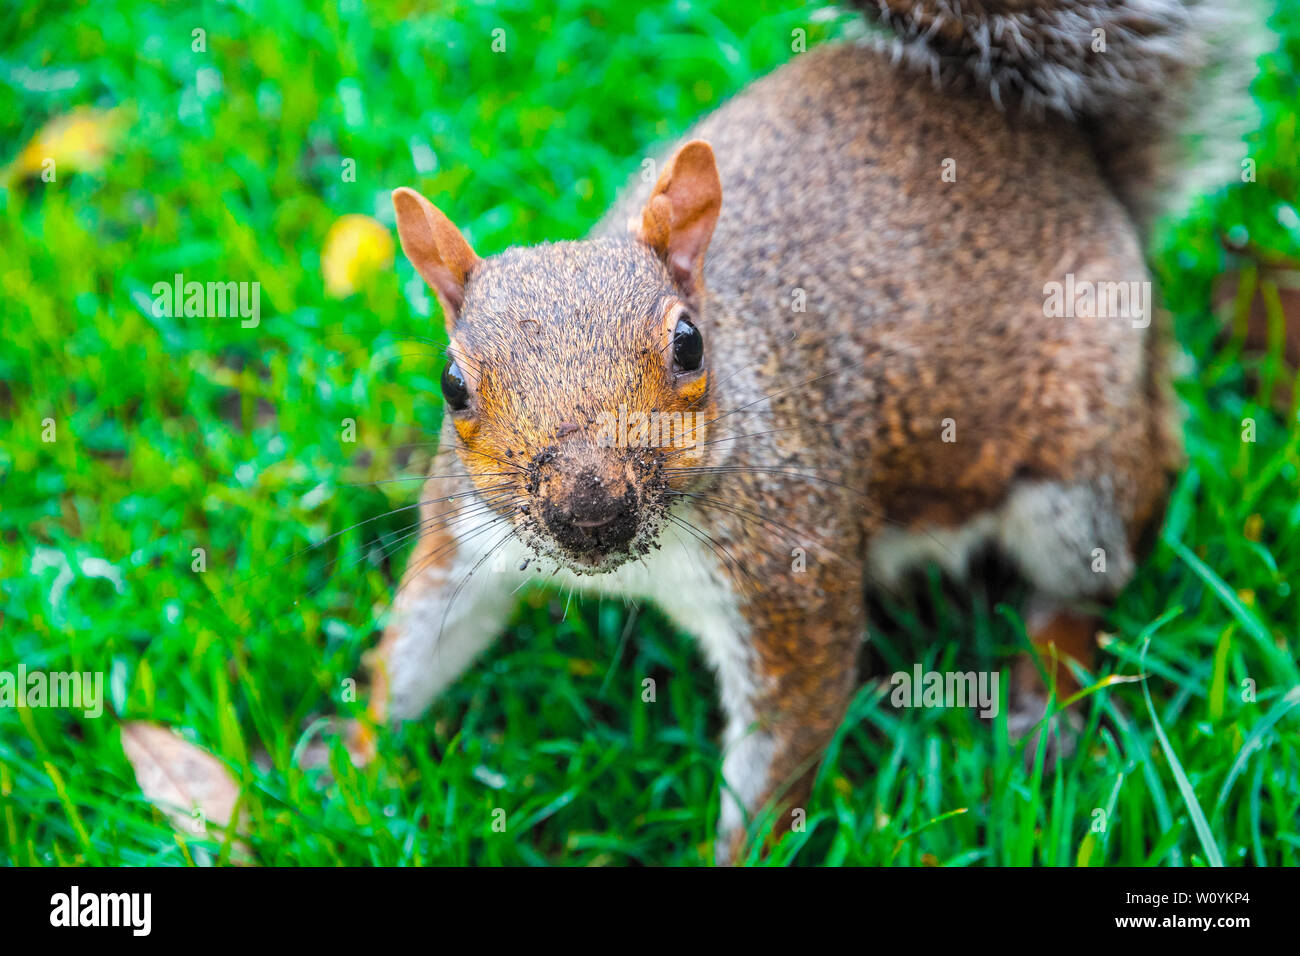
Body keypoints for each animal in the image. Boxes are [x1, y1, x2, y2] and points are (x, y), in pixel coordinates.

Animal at [363, 0, 1267, 862]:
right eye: (451, 385)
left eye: (689, 345)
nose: (589, 508)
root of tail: (1085, 174)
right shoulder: (461, 535)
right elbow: (419, 644)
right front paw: (355, 767)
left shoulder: (789, 573)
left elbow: (788, 734)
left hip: (1082, 480)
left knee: (1087, 586)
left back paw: (1041, 705)